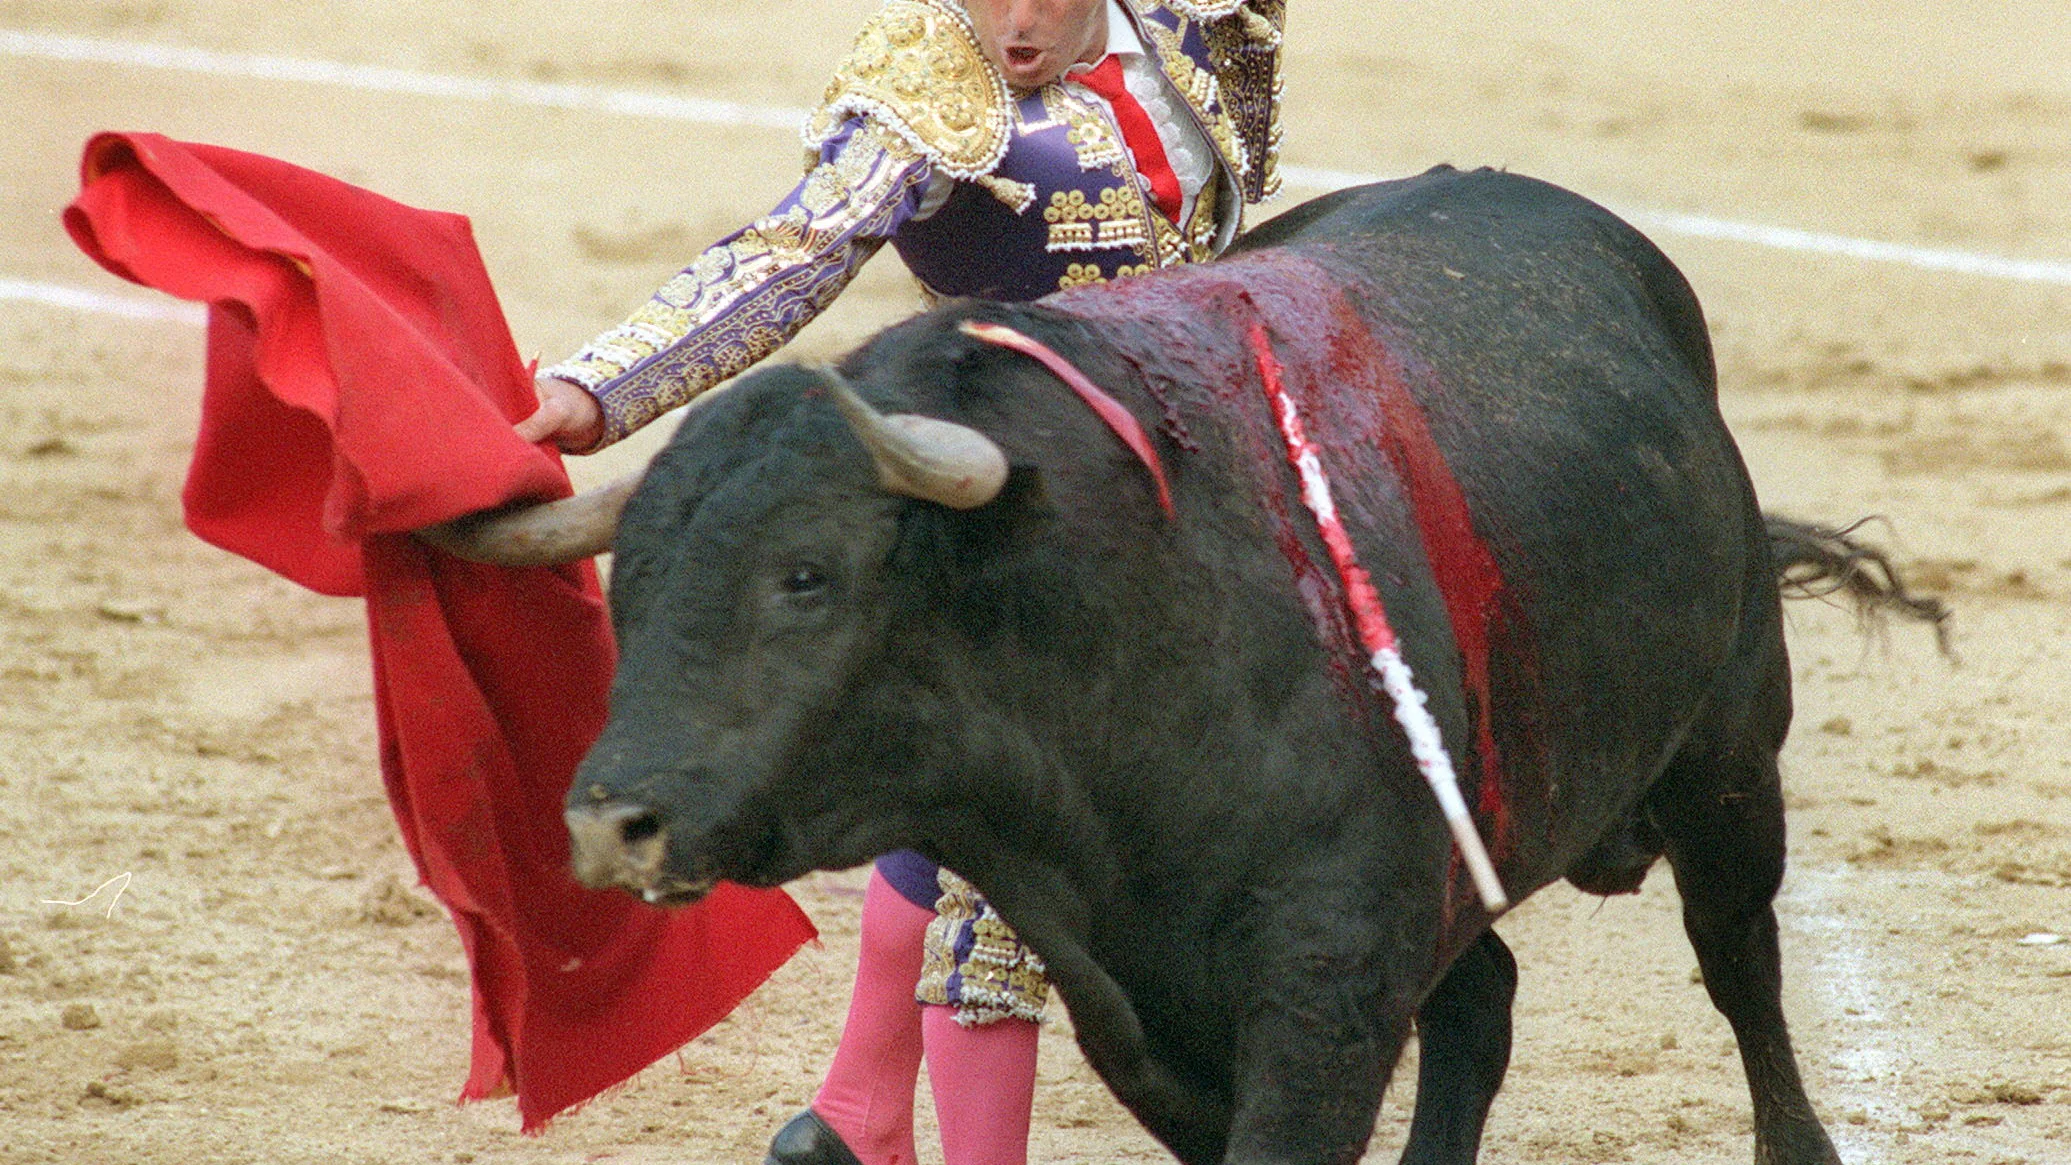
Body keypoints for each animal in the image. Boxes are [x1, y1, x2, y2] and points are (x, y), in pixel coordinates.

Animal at [428, 166, 1946, 1165]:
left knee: (1738, 957)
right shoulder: (1135, 998)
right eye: (628, 584)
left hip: (1729, 755)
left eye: (806, 575)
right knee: (1485, 1006)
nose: (610, 822)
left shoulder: (1321, 990)